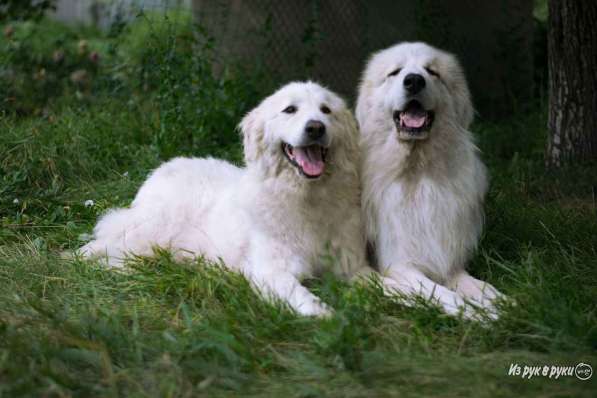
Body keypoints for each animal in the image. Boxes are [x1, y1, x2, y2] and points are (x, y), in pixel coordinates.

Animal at [80, 81, 382, 318]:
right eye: (290, 110)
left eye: (326, 110)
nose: (316, 128)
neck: (307, 198)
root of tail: (163, 167)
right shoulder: (272, 271)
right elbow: (303, 297)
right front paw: (327, 316)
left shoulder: (352, 268)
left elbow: (381, 282)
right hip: (149, 232)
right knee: (103, 245)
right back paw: (80, 260)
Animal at [358, 42, 502, 318]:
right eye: (395, 72)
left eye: (432, 72)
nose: (414, 81)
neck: (417, 171)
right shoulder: (400, 264)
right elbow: (442, 293)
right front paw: (476, 314)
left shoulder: (448, 261)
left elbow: (483, 288)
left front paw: (508, 306)